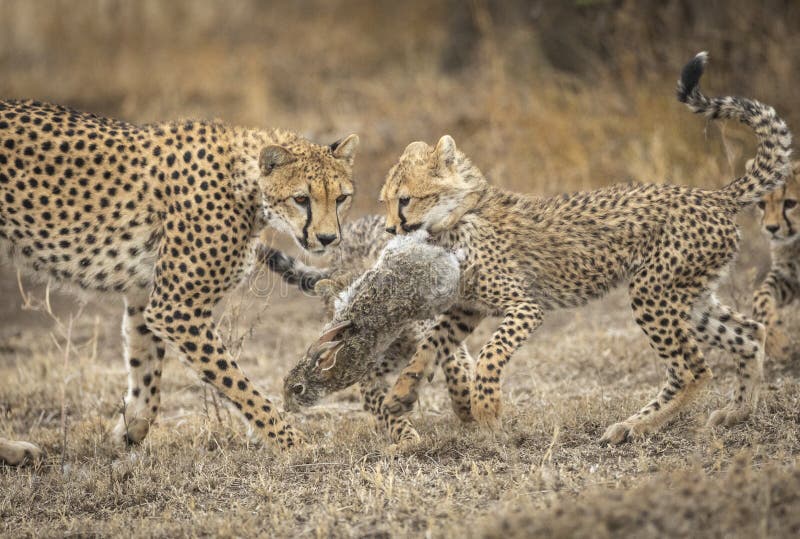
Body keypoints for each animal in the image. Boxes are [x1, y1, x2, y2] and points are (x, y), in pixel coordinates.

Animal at [0, 99, 356, 462]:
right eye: (301, 199)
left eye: (341, 198)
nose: (328, 238)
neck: (246, 185)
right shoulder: (176, 308)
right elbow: (237, 382)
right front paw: (292, 442)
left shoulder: (146, 296)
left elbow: (145, 367)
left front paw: (129, 429)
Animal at [376, 52, 792, 446]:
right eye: (385, 201)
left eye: (404, 200)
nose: (389, 228)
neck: (457, 216)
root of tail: (711, 195)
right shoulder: (466, 309)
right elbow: (430, 344)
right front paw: (401, 393)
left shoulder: (526, 306)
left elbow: (490, 353)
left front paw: (487, 410)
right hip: (690, 296)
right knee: (749, 333)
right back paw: (735, 411)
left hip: (652, 291)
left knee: (693, 370)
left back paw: (637, 426)